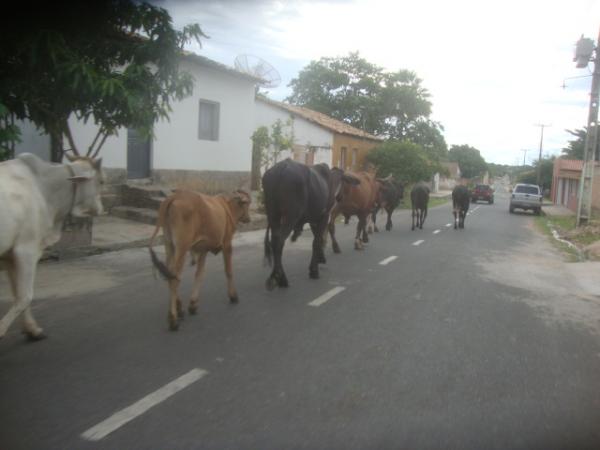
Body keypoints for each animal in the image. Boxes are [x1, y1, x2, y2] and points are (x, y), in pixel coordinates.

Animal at [0, 153, 104, 340]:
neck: (43, 187)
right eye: (101, 181)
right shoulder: (26, 250)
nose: (102, 209)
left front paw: (33, 329)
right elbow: (25, 296)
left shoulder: (9, 255)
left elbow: (18, 294)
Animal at [152, 189, 253, 330]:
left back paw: (179, 309)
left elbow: (199, 274)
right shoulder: (227, 244)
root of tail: (174, 197)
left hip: (169, 245)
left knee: (169, 274)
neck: (227, 207)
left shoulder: (203, 249)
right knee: (174, 278)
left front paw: (193, 304)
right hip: (182, 247)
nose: (248, 218)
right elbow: (228, 271)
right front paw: (233, 296)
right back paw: (173, 319)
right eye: (247, 204)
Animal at [262, 160, 356, 290]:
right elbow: (316, 241)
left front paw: (321, 258)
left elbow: (318, 238)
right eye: (344, 183)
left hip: (273, 214)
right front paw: (314, 270)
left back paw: (276, 275)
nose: (340, 198)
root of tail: (282, 167)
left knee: (274, 240)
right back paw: (282, 279)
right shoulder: (324, 215)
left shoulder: (313, 218)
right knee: (279, 242)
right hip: (290, 216)